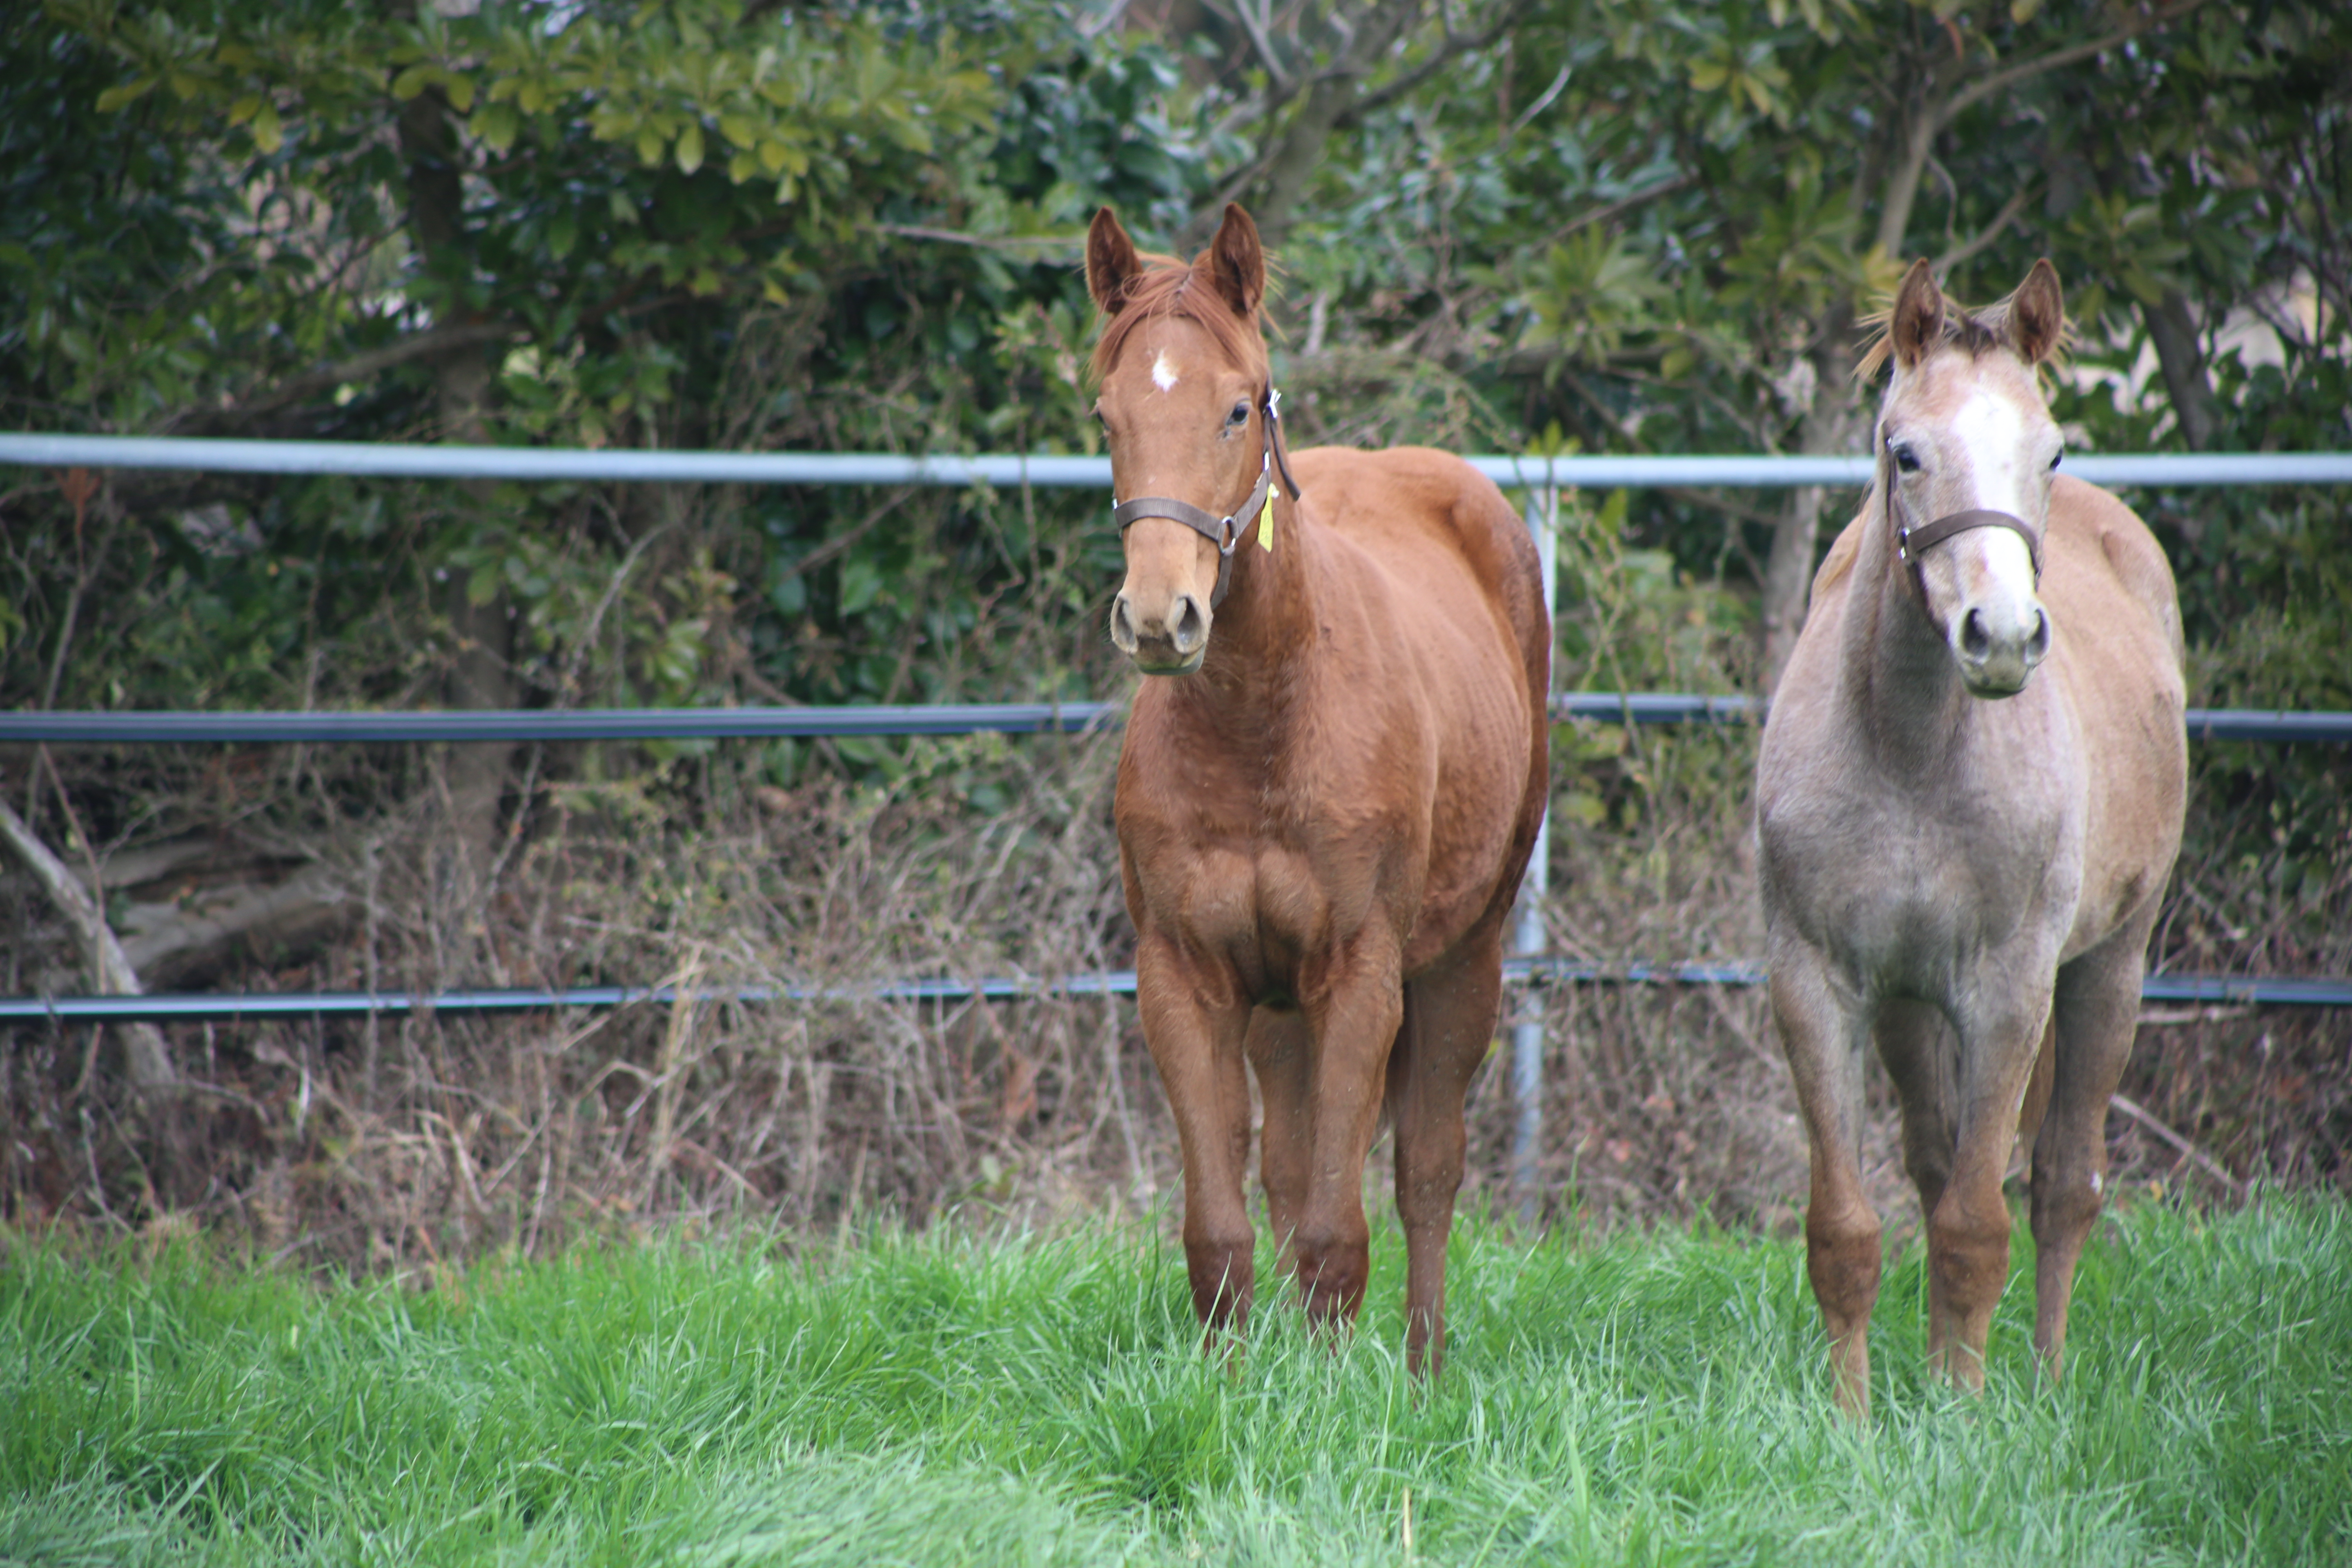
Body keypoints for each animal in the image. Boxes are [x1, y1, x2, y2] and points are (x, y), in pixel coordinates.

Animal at [1091, 205, 1552, 1373]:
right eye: (1105, 413)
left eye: (1236, 406)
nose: (1159, 618)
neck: (1260, 728)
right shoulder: (1185, 981)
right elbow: (1222, 1233)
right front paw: (1233, 1384)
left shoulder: (1360, 977)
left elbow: (1342, 1231)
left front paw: (1342, 1394)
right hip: (1276, 1010)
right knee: (1293, 1171)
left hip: (1464, 958)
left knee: (1426, 1172)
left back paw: (1425, 1369)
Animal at [1768, 261, 2183, 1420]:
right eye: (1904, 451)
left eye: (2049, 452)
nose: (1998, 638)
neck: (1908, 751)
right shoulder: (1817, 982)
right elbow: (1848, 1229)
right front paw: (1855, 1421)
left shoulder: (2008, 989)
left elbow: (1972, 1227)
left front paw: (1961, 1414)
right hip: (1913, 1010)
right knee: (1934, 1158)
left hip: (2108, 965)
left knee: (2062, 1181)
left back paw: (2039, 1376)